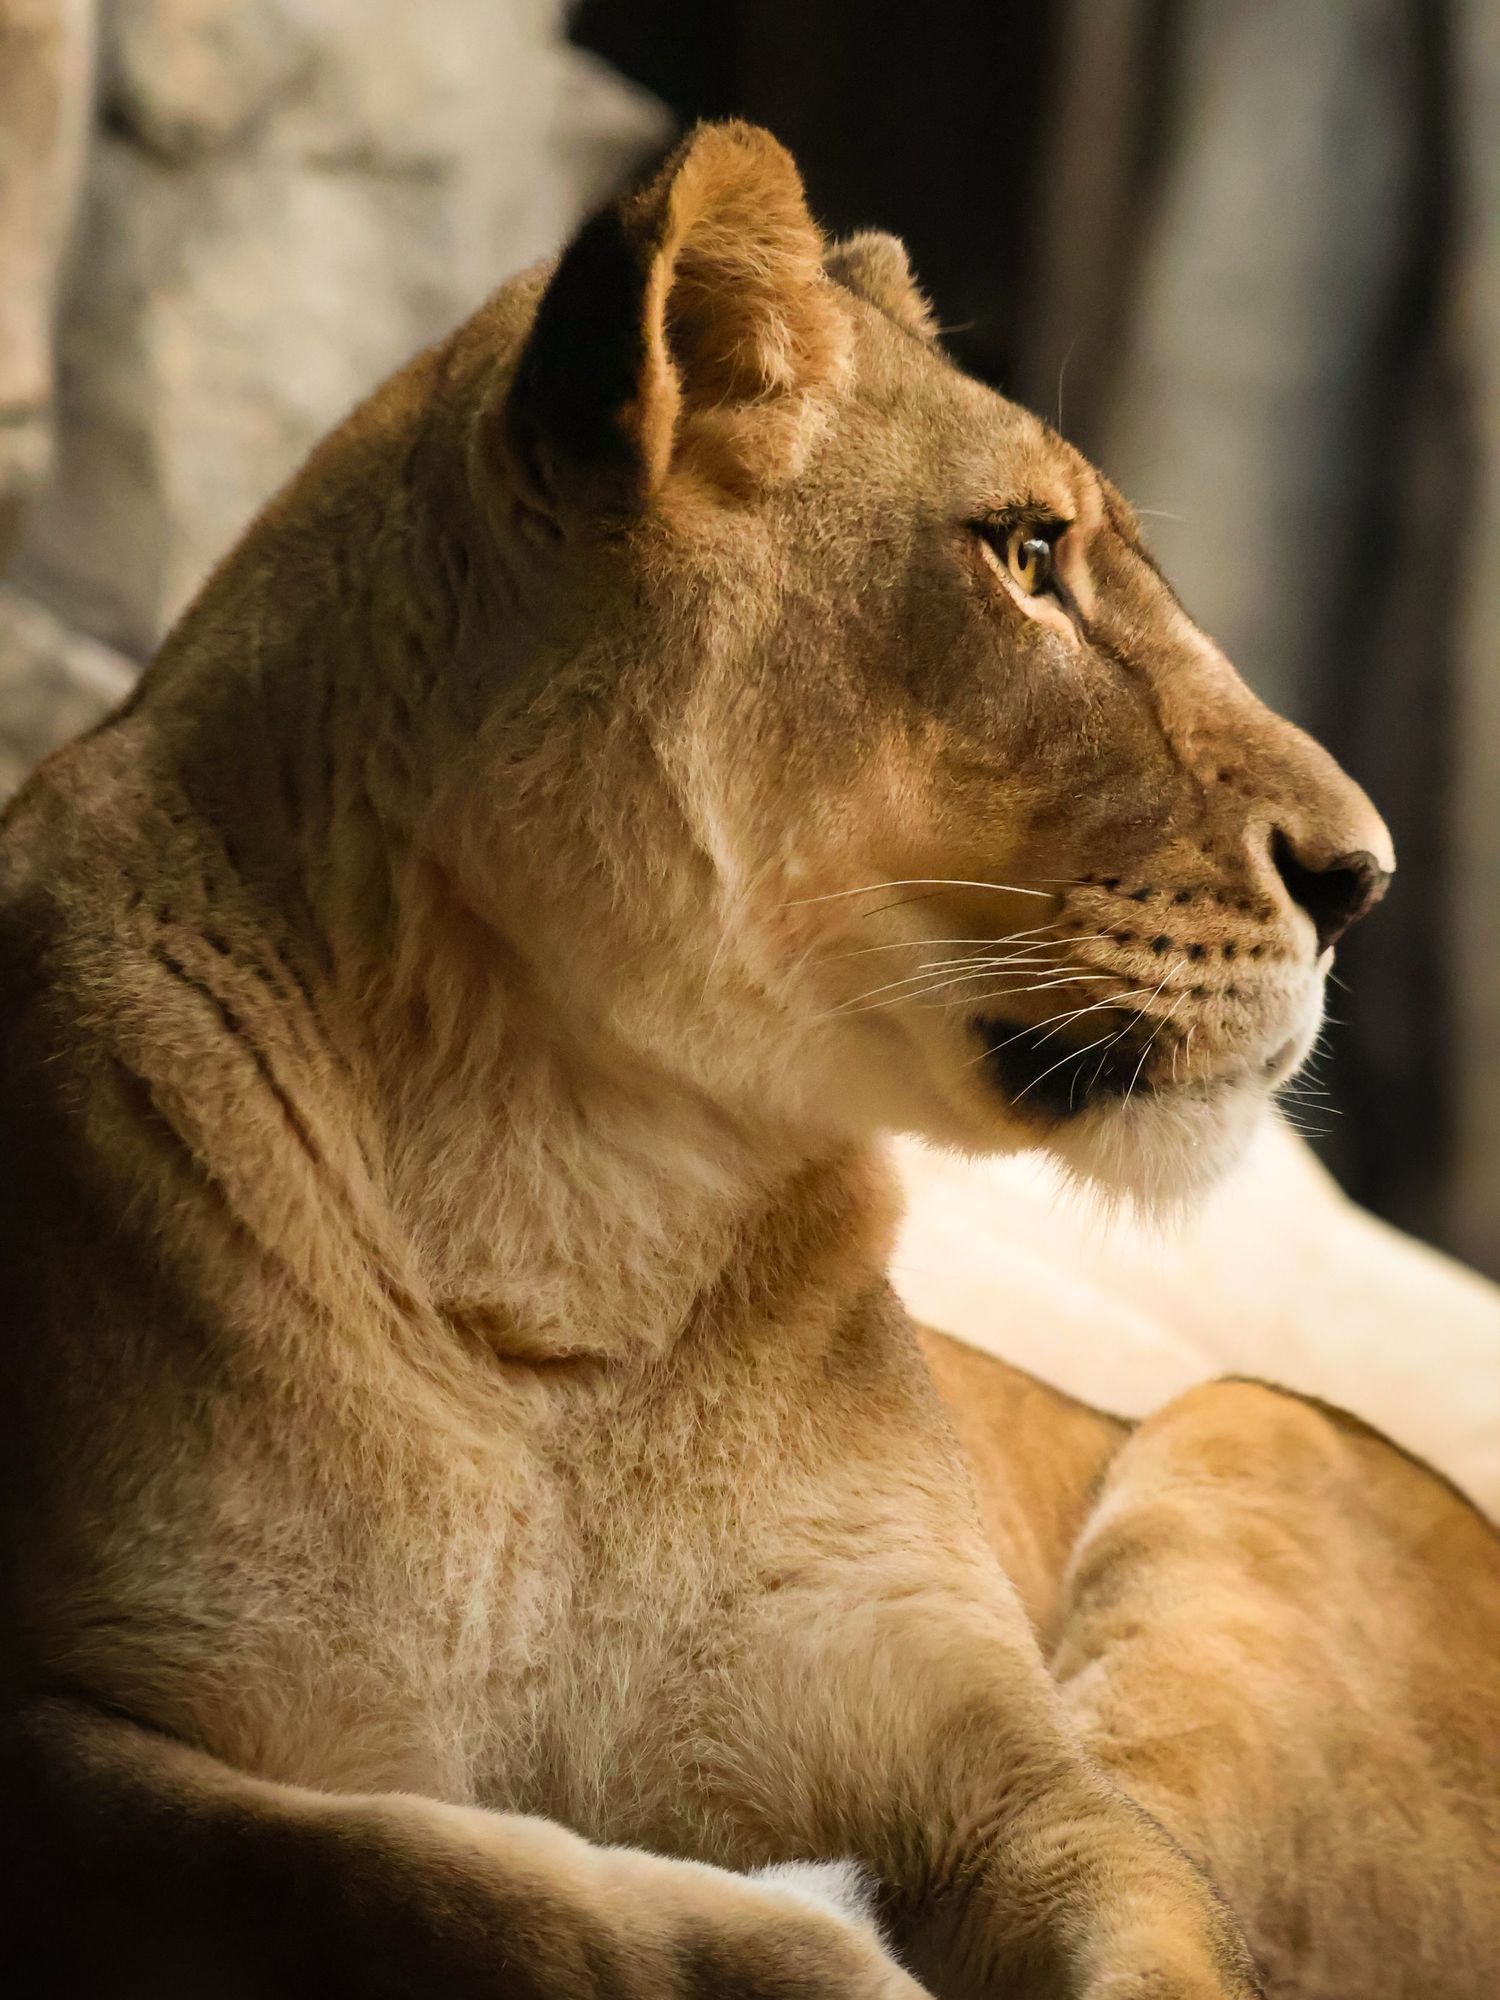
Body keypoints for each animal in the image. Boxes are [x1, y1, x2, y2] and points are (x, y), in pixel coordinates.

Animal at [0, 121, 1393, 1996]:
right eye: (1025, 555)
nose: (1362, 878)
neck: (584, 1199)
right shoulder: (78, 1721)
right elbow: (418, 1875)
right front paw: (811, 1934)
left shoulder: (1014, 1777)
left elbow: (1158, 1939)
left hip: (1254, 1426)